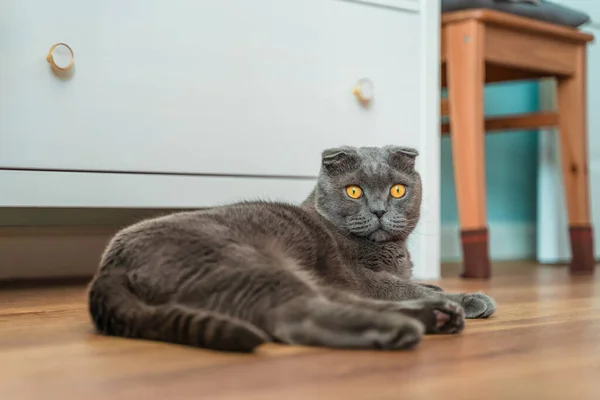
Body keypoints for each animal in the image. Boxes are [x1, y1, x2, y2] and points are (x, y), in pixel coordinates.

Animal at [88, 145, 492, 352]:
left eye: (397, 190)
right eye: (354, 191)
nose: (379, 211)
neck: (392, 251)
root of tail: (109, 266)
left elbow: (419, 283)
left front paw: (448, 292)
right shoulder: (360, 276)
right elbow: (403, 286)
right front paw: (468, 296)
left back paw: (436, 316)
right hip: (248, 267)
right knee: (299, 316)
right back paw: (404, 328)